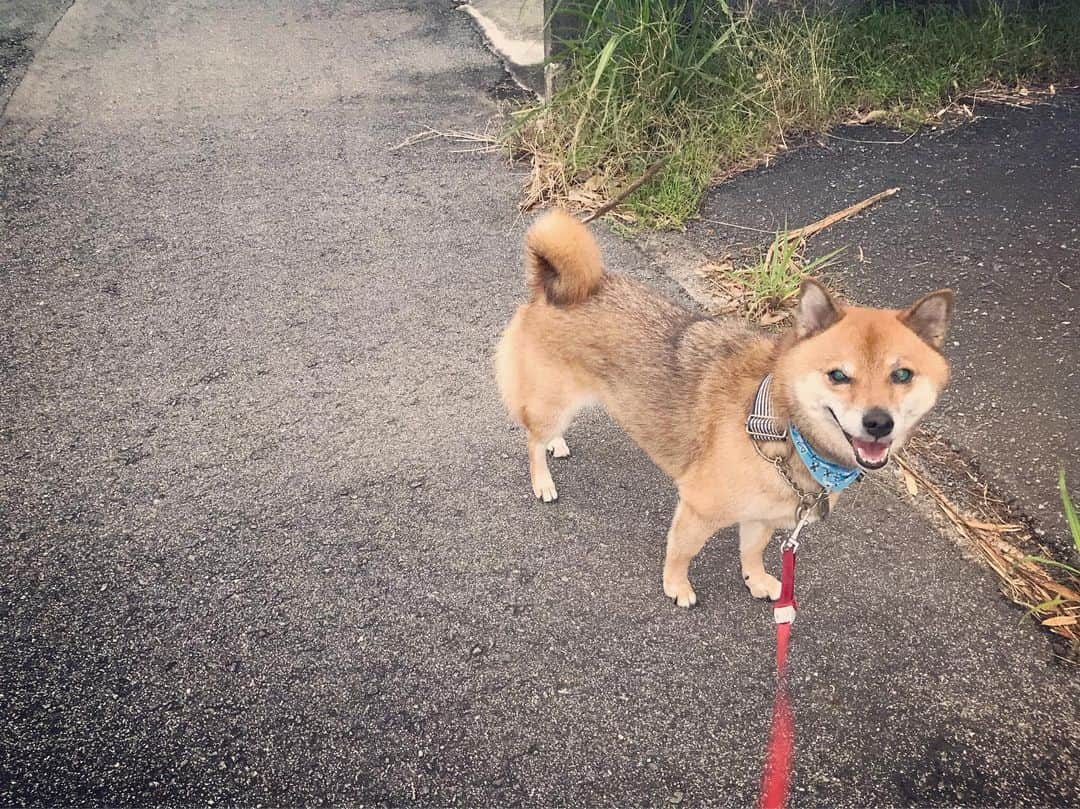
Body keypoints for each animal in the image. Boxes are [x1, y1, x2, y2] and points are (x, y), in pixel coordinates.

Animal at [494, 208, 950, 604]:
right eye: (838, 375)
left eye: (902, 375)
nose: (878, 423)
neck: (782, 430)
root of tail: (552, 285)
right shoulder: (699, 508)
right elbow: (682, 552)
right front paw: (676, 586)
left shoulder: (760, 518)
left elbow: (752, 552)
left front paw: (757, 580)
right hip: (553, 401)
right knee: (532, 441)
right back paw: (543, 479)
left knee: (544, 434)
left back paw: (557, 444)